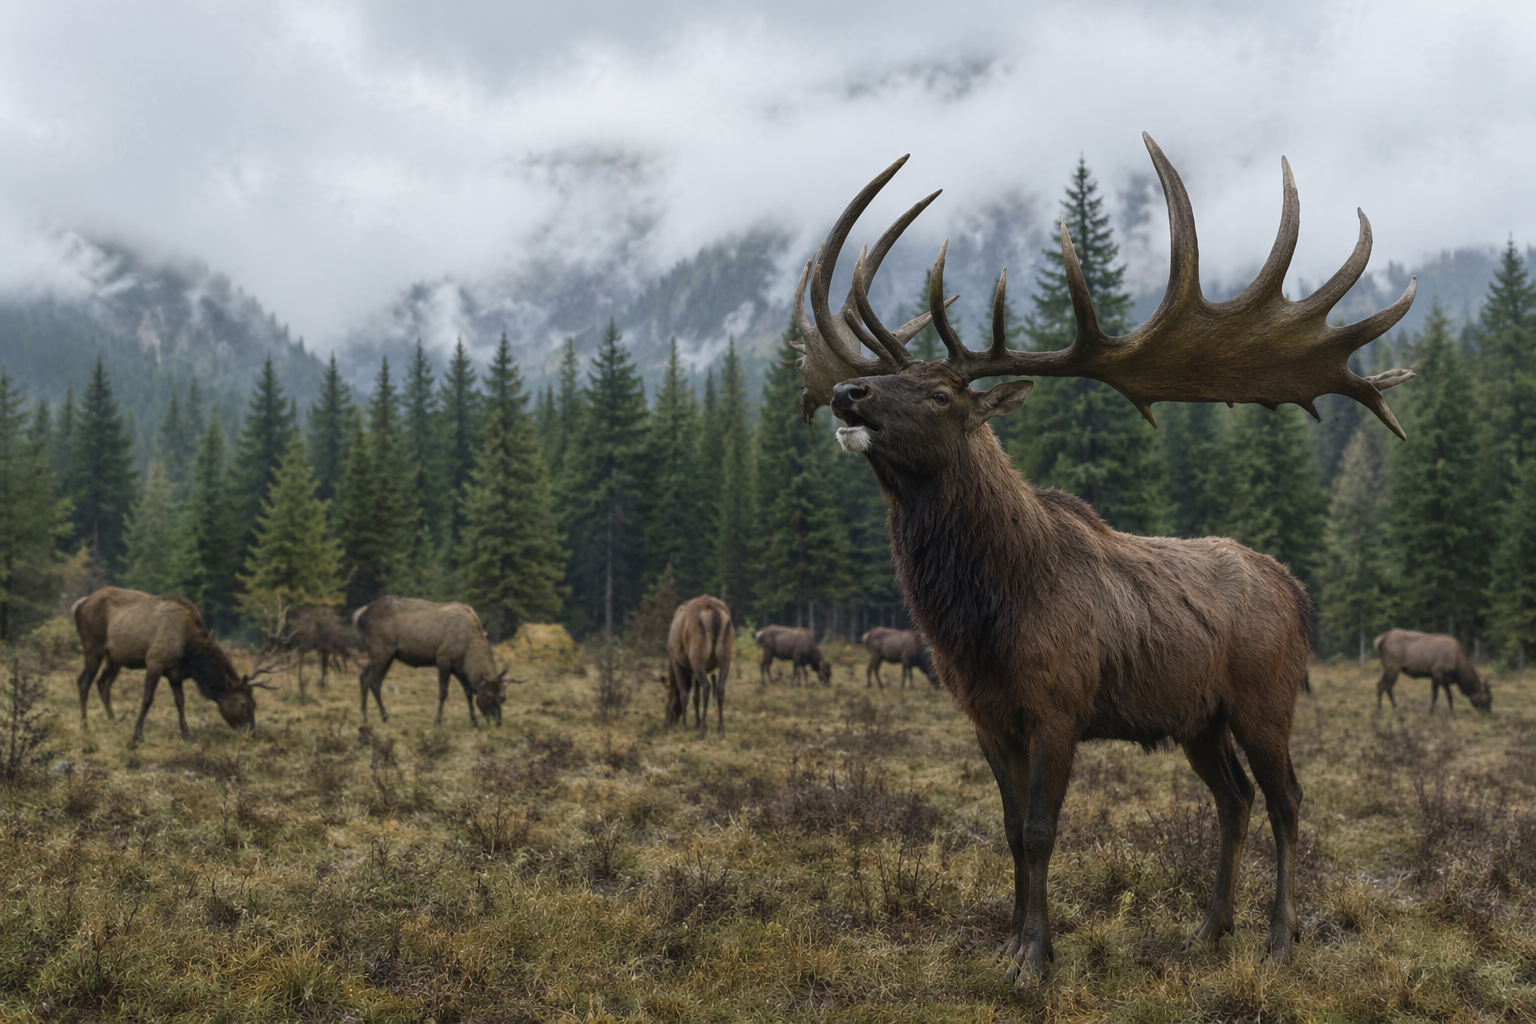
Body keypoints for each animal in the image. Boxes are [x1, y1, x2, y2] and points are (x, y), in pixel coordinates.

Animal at [72, 587, 285, 746]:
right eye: (242, 703)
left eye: (255, 703)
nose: (252, 734)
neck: (190, 657)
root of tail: (79, 604)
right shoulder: (155, 661)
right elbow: (147, 699)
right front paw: (137, 735)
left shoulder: (175, 674)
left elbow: (180, 702)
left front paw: (187, 735)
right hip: (92, 647)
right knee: (84, 681)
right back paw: (84, 725)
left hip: (115, 657)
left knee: (103, 683)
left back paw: (115, 724)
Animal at [353, 596, 510, 726]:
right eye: (488, 696)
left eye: (503, 697)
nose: (498, 721)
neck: (468, 652)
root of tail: (359, 616)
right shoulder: (444, 659)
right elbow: (443, 692)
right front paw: (437, 721)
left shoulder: (458, 667)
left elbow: (468, 691)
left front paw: (474, 721)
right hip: (382, 651)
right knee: (371, 681)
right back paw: (369, 717)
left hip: (387, 656)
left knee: (366, 677)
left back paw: (377, 716)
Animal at [665, 595, 735, 734]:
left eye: (664, 698)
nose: (666, 723)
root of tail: (714, 612)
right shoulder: (695, 670)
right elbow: (696, 697)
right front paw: (698, 723)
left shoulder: (676, 661)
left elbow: (684, 694)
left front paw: (685, 727)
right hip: (725, 655)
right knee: (720, 689)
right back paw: (721, 728)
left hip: (697, 654)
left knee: (707, 686)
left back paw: (701, 732)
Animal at [792, 134, 1416, 983]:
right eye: (886, 375)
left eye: (942, 395)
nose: (847, 394)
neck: (982, 614)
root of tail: (1296, 587)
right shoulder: (986, 715)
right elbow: (1007, 829)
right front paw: (1014, 940)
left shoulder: (1060, 703)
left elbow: (1039, 830)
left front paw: (1033, 958)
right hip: (1198, 719)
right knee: (1234, 798)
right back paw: (1208, 928)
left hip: (1266, 696)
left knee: (1287, 796)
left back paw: (1280, 937)